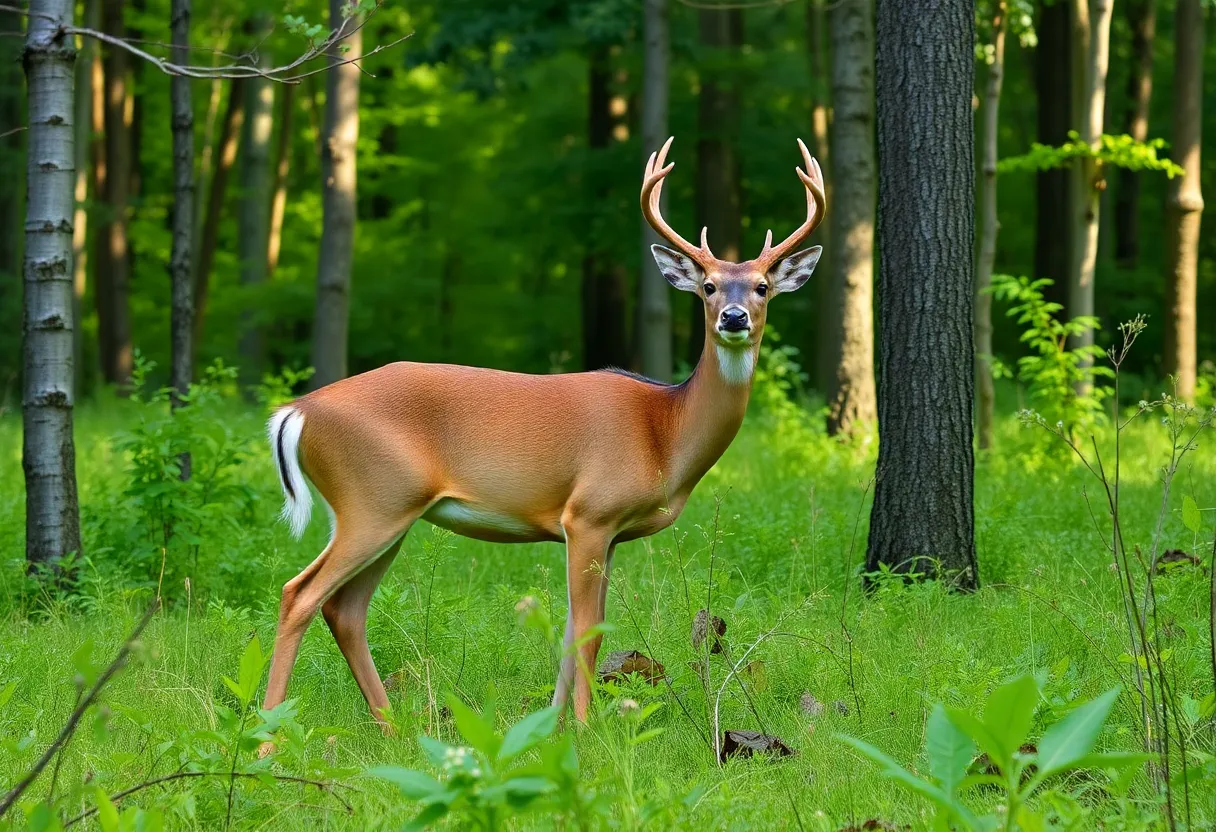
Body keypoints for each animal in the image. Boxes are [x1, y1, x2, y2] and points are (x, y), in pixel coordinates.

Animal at [261, 137, 826, 734]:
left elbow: (574, 633)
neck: (665, 433)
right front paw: (585, 728)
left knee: (344, 609)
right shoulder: (589, 514)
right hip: (373, 501)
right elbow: (587, 633)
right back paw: (268, 735)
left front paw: (551, 729)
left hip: (389, 510)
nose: (734, 317)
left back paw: (393, 729)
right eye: (709, 286)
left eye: (763, 286)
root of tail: (299, 410)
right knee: (299, 594)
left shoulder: (608, 534)